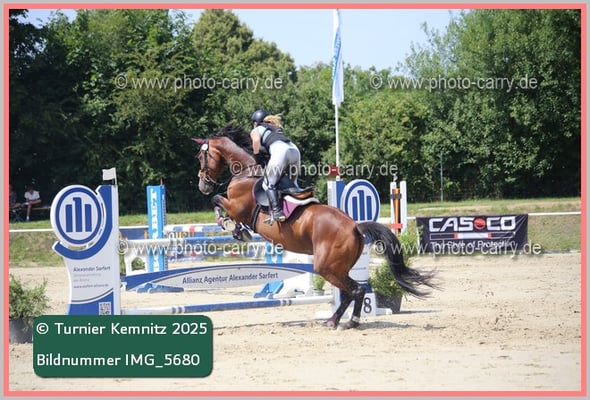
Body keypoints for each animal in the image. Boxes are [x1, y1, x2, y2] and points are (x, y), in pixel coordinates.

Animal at [194, 125, 436, 329]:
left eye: (201, 157)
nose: (202, 185)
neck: (246, 171)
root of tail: (355, 227)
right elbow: (219, 202)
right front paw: (237, 229)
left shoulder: (236, 206)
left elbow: (218, 200)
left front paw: (230, 226)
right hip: (338, 267)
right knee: (349, 292)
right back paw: (334, 320)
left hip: (326, 266)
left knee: (355, 290)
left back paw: (349, 321)